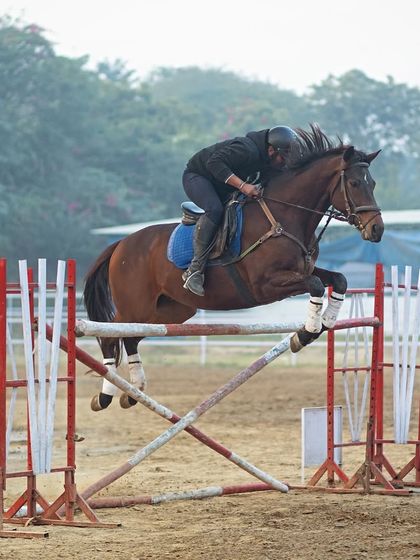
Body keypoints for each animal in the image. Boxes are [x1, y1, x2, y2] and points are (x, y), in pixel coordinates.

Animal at [84, 124, 384, 411]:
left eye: (373, 183)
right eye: (354, 183)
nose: (377, 230)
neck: (286, 216)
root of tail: (121, 244)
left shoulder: (303, 270)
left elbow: (339, 279)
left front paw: (328, 321)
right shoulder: (266, 284)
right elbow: (316, 285)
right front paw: (305, 333)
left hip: (170, 310)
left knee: (131, 337)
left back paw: (133, 392)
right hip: (135, 304)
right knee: (110, 334)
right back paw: (105, 396)